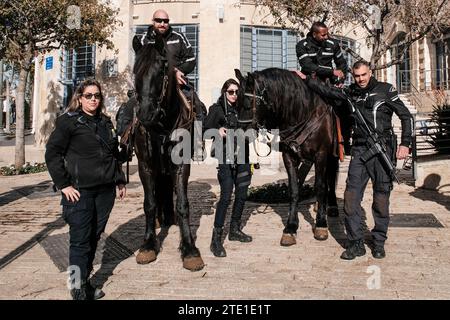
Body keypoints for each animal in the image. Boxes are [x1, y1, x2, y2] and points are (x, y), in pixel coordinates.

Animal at [131, 34, 205, 270]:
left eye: (163, 68)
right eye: (135, 70)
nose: (146, 114)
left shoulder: (181, 165)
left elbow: (183, 204)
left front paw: (189, 248)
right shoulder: (145, 165)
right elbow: (149, 203)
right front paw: (148, 244)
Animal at [236, 68, 338, 245]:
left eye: (248, 103)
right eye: (236, 101)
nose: (239, 133)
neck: (303, 114)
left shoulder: (321, 155)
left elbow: (320, 187)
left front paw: (320, 224)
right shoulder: (289, 156)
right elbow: (294, 190)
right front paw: (291, 227)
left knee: (330, 178)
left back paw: (330, 206)